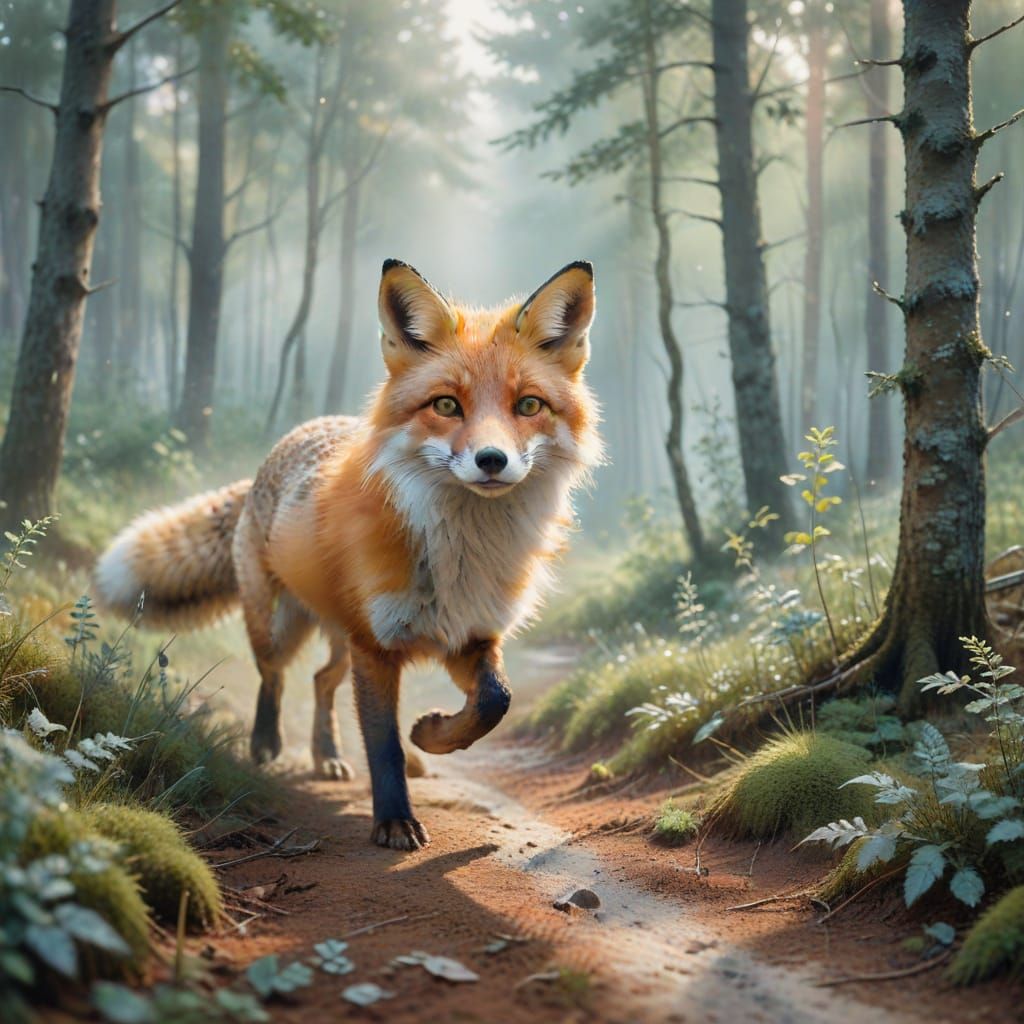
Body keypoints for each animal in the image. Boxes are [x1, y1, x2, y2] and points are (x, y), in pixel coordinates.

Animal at [94, 258, 602, 851]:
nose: (492, 460)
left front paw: (431, 736)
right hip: (282, 625)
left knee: (320, 681)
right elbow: (382, 744)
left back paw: (332, 754)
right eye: (446, 405)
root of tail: (284, 446)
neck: (458, 556)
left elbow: (493, 702)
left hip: (341, 638)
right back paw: (267, 742)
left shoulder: (469, 635)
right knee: (274, 673)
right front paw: (395, 820)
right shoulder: (377, 647)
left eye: (529, 405)